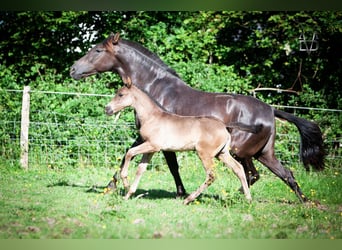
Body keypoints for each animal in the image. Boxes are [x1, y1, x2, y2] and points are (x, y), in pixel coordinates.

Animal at [104, 82, 251, 205]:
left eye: (121, 94)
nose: (107, 109)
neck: (152, 117)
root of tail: (224, 126)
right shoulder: (151, 150)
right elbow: (141, 168)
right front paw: (129, 194)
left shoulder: (152, 145)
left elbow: (129, 153)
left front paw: (125, 183)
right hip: (222, 153)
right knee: (239, 168)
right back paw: (248, 199)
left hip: (205, 154)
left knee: (211, 175)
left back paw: (188, 199)